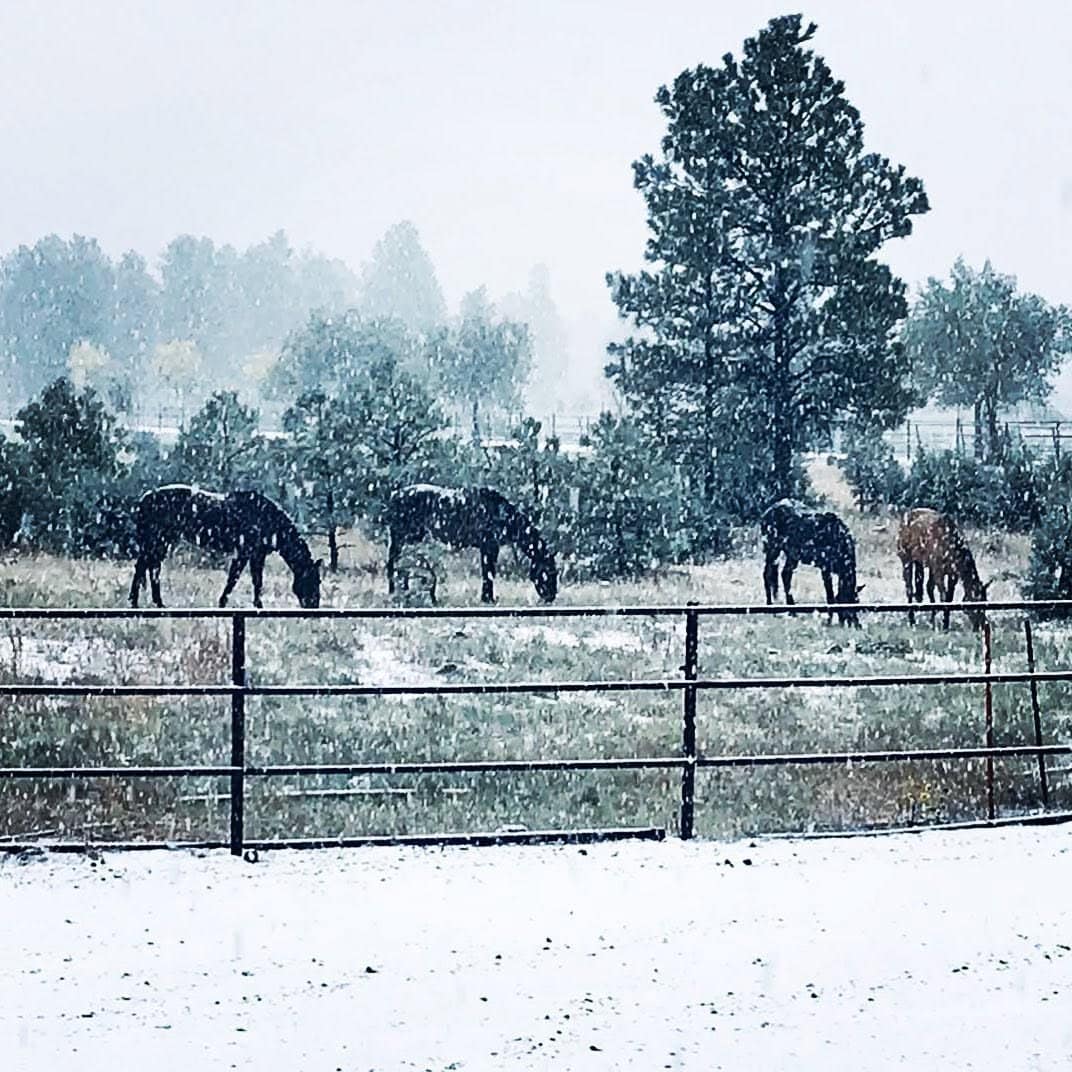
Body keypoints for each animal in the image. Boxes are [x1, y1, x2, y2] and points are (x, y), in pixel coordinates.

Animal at [129, 485, 322, 609]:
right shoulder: (244, 553)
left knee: (152, 568)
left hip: (163, 542)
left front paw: (256, 605)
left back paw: (156, 602)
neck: (266, 519)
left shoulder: (257, 555)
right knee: (144, 567)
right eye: (313, 580)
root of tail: (145, 498)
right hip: (156, 541)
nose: (314, 605)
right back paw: (137, 602)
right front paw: (224, 603)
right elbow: (235, 579)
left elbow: (255, 581)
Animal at [385, 484, 557, 604]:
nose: (552, 596)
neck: (503, 515)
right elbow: (488, 572)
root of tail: (394, 495)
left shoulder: (490, 547)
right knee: (393, 562)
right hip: (402, 537)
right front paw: (488, 598)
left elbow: (488, 572)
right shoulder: (489, 546)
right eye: (549, 573)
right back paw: (394, 591)